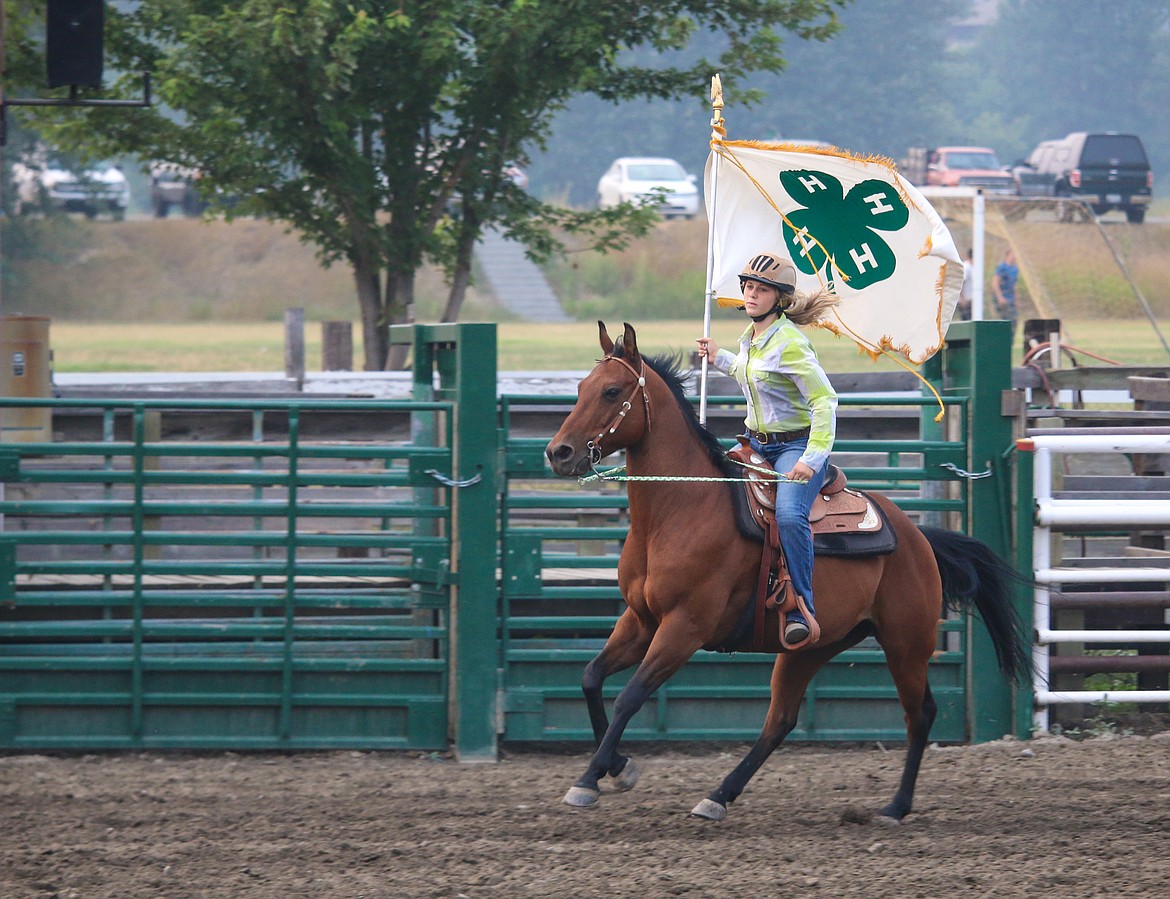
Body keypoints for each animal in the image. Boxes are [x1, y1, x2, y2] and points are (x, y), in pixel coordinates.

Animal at [542, 320, 1029, 824]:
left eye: (611, 391)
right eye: (580, 388)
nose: (558, 452)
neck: (678, 512)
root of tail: (918, 537)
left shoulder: (683, 628)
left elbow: (630, 697)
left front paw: (589, 778)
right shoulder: (640, 621)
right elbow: (591, 678)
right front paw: (617, 768)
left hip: (906, 642)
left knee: (921, 714)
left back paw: (895, 806)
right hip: (813, 646)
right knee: (781, 720)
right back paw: (719, 795)